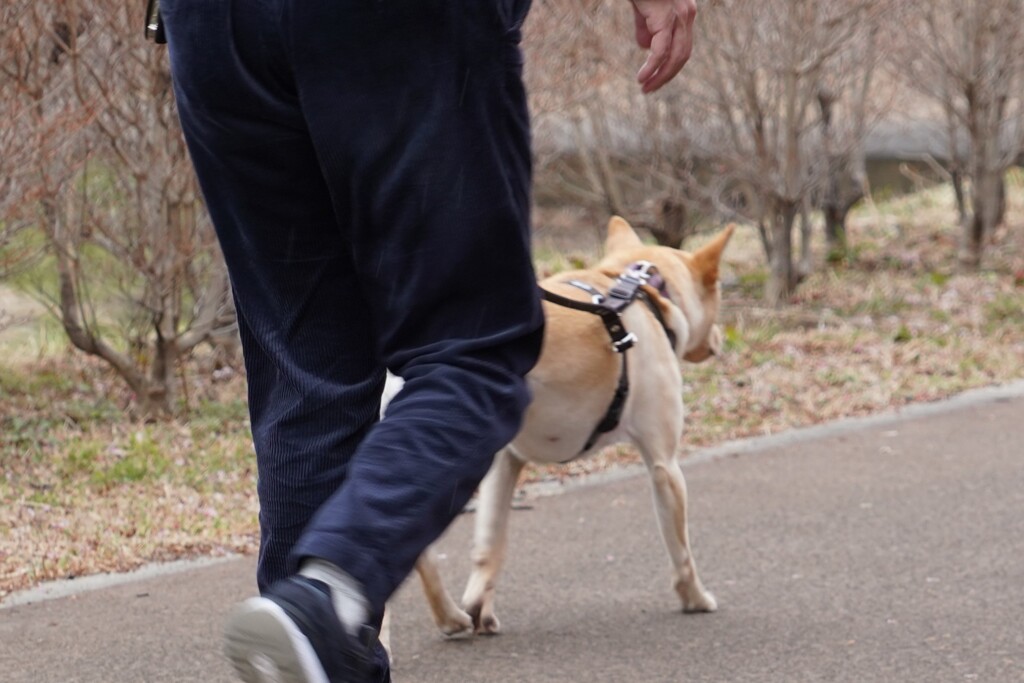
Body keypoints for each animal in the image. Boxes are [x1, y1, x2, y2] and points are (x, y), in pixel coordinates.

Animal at [382, 218, 729, 651]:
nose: (722, 338)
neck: (638, 289)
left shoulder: (504, 461)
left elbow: (489, 545)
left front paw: (481, 609)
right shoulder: (665, 467)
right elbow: (681, 548)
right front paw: (695, 597)